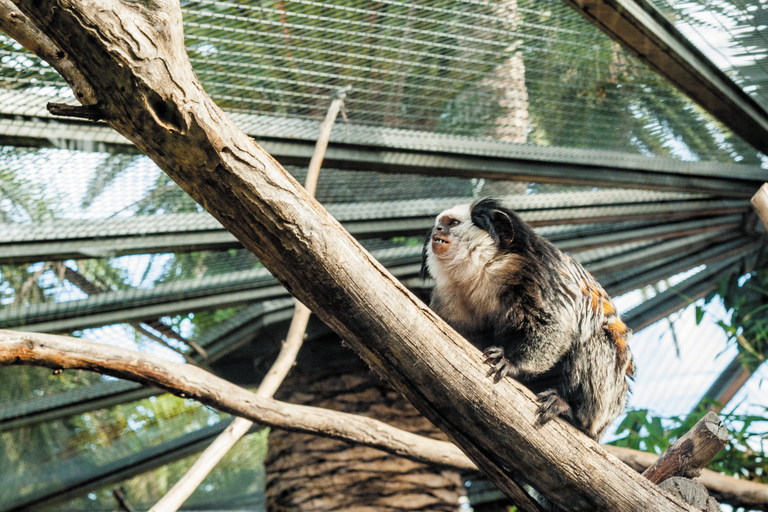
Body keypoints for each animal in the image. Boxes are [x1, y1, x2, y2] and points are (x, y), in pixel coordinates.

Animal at [424, 197, 632, 440]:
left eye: (452, 223)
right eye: (439, 224)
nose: (437, 230)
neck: (483, 272)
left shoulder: (537, 275)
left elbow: (555, 325)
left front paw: (511, 362)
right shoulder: (448, 297)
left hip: (608, 401)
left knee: (594, 342)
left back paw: (570, 410)